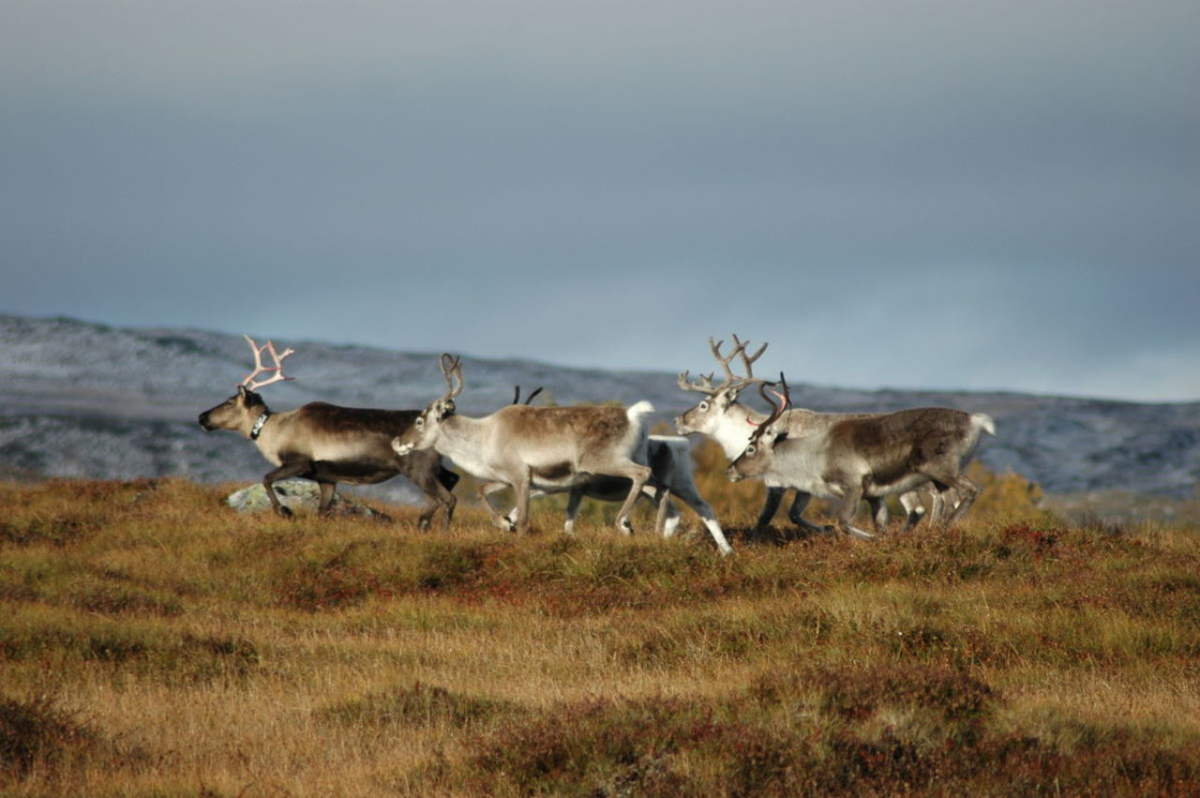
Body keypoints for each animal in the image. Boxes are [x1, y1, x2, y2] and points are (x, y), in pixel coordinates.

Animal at [198, 335, 459, 528]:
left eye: (229, 402)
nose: (202, 417)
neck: (275, 430)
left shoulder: (299, 462)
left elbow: (266, 478)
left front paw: (284, 511)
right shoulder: (326, 478)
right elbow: (322, 511)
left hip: (417, 468)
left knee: (448, 497)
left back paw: (440, 528)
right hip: (431, 467)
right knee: (451, 480)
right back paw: (423, 522)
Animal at [391, 354, 720, 549]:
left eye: (419, 420)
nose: (396, 442)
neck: (483, 437)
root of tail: (634, 415)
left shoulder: (521, 476)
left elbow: (524, 518)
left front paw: (512, 526)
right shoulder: (509, 478)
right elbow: (483, 490)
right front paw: (503, 522)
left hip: (606, 462)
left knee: (643, 475)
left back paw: (623, 524)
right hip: (638, 461)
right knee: (660, 487)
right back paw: (653, 531)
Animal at [674, 335, 949, 534]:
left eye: (703, 405)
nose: (678, 421)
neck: (749, 432)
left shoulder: (777, 482)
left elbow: (765, 518)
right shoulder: (804, 486)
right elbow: (795, 515)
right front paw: (826, 529)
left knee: (927, 504)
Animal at [727, 375, 994, 538]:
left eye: (751, 447)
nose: (730, 469)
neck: (814, 456)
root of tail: (976, 421)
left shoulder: (854, 486)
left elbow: (844, 522)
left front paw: (872, 540)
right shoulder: (875, 496)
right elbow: (880, 524)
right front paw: (885, 540)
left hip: (940, 468)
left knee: (971, 490)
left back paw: (945, 527)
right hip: (939, 477)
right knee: (948, 499)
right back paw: (936, 530)